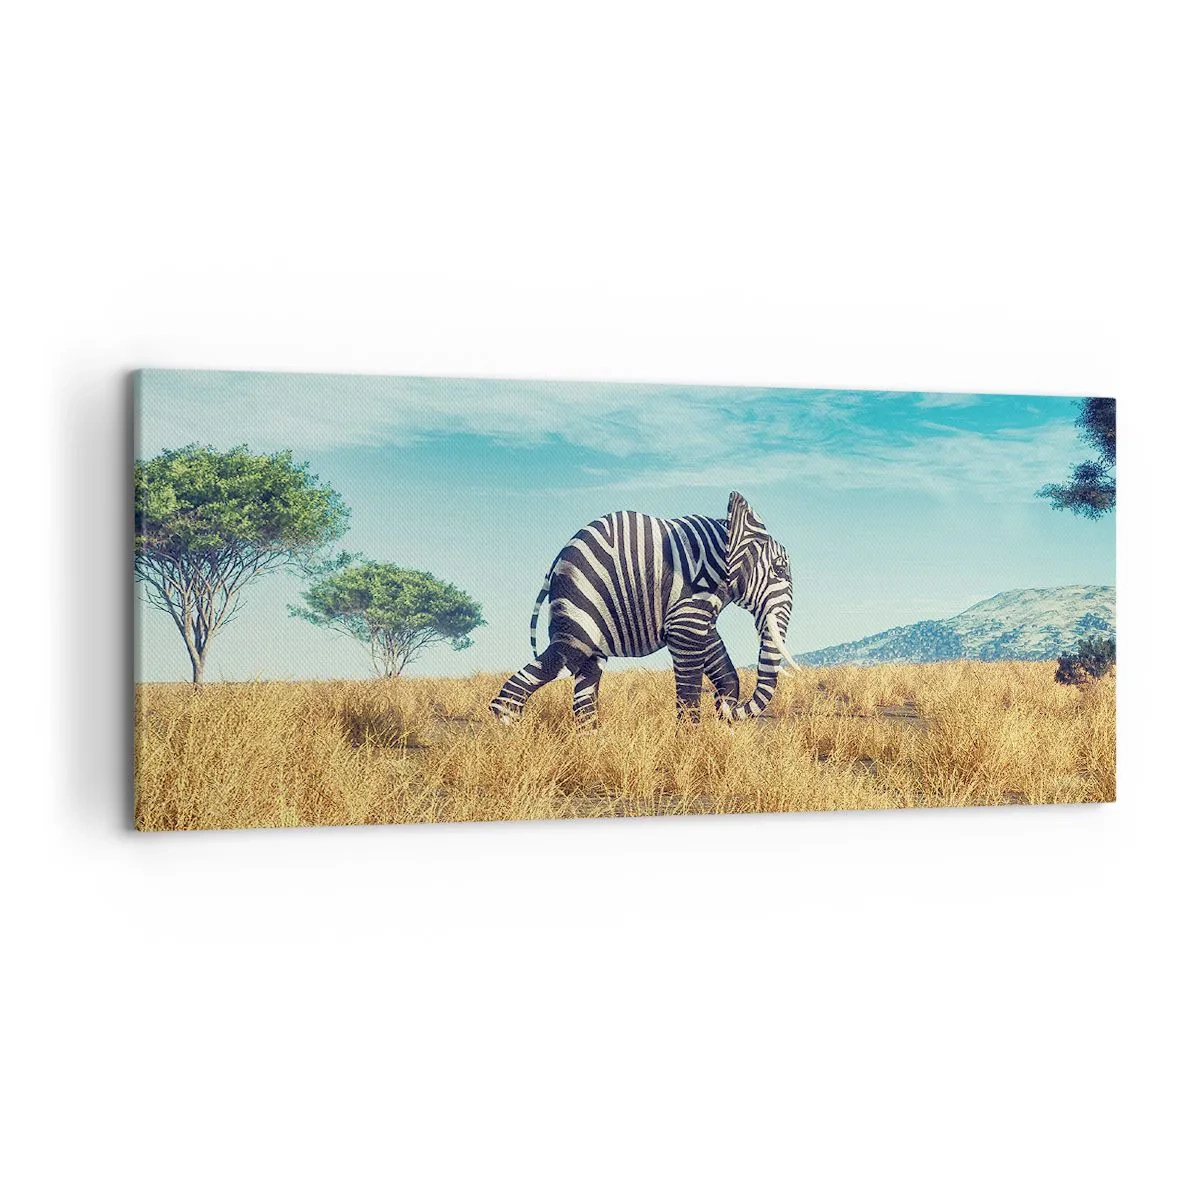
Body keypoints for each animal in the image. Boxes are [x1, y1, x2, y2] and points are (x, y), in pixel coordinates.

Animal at [489, 491, 799, 724]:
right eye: (780, 570)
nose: (729, 711)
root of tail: (556, 559)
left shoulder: (697, 610)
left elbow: (723, 665)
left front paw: (722, 719)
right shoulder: (687, 605)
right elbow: (689, 682)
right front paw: (689, 748)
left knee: (586, 685)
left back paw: (593, 748)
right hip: (579, 604)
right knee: (561, 661)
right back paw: (510, 736)